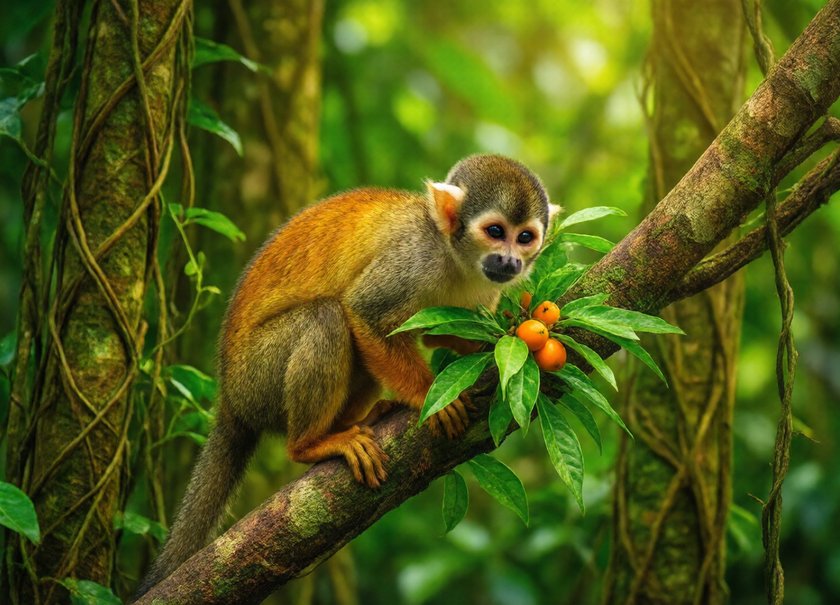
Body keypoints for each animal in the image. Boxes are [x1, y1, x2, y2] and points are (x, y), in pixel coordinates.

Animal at [135, 154, 557, 596]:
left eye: (525, 237)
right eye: (495, 232)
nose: (510, 261)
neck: (455, 256)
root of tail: (230, 400)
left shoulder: (483, 290)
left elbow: (432, 331)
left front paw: (497, 335)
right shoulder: (413, 259)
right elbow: (364, 314)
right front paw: (428, 397)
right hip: (258, 378)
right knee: (329, 317)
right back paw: (310, 444)